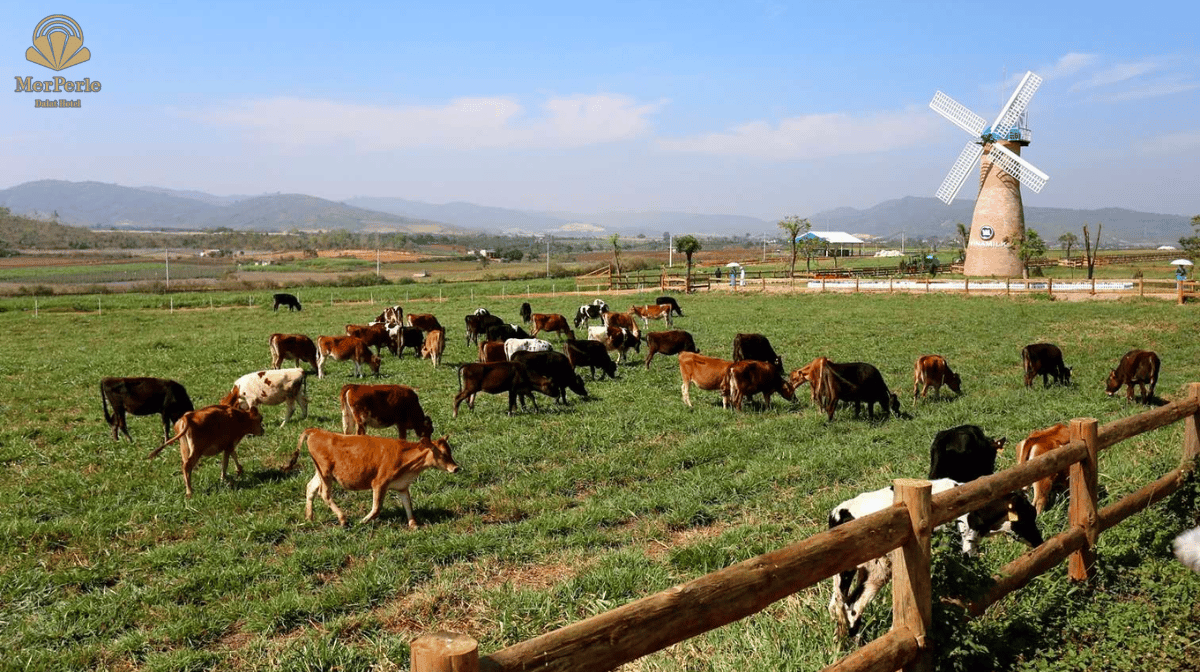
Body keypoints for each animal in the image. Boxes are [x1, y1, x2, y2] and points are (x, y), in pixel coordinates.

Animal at [291, 427, 458, 528]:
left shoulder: (402, 486)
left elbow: (408, 505)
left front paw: (414, 525)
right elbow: (377, 508)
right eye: (443, 454)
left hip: (321, 473)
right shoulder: (379, 482)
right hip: (325, 472)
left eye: (450, 451)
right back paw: (343, 518)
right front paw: (362, 521)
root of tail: (316, 431)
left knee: (310, 488)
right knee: (324, 494)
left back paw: (309, 517)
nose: (456, 468)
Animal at [830, 477, 1046, 633]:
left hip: (866, 571)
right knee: (850, 605)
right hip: (873, 568)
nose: (1040, 541)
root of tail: (840, 511)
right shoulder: (965, 547)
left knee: (845, 605)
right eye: (1028, 516)